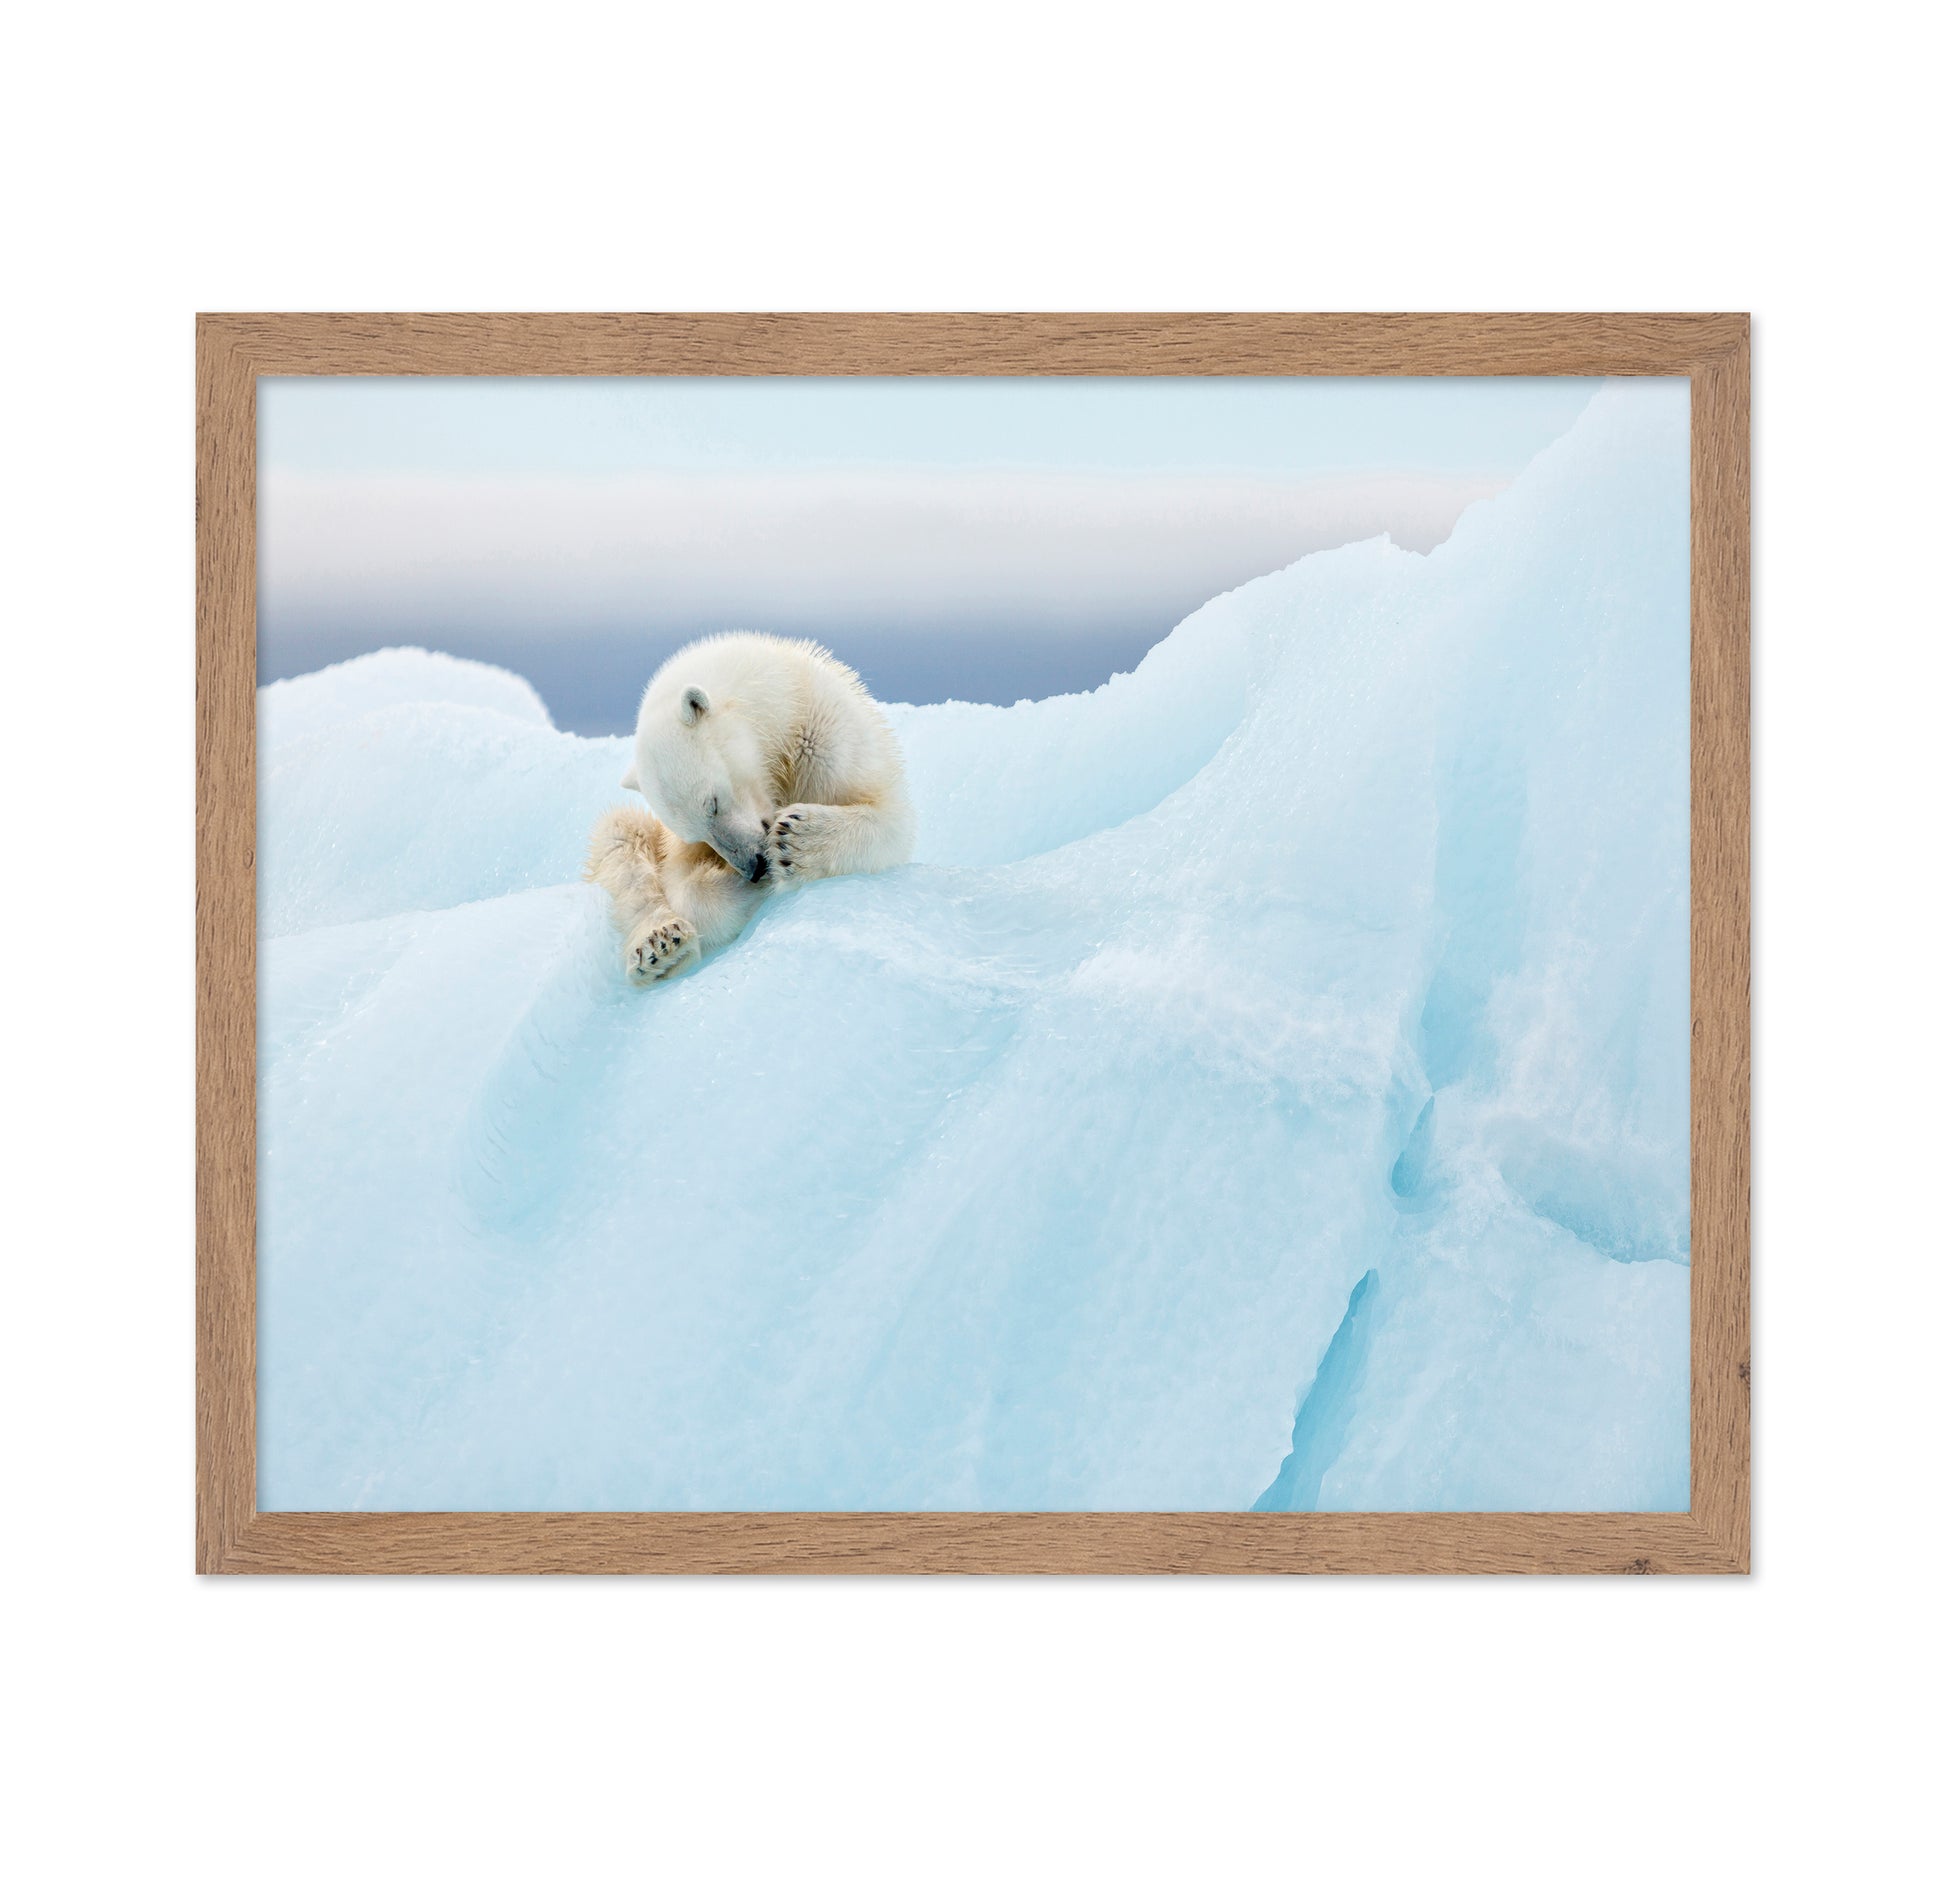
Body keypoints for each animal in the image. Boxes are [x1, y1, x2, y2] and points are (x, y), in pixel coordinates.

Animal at [584, 632, 916, 985]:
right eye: (696, 835)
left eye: (713, 804)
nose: (754, 867)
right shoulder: (675, 845)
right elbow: (683, 884)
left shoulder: (829, 739)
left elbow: (891, 819)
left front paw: (795, 839)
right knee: (620, 836)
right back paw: (660, 947)